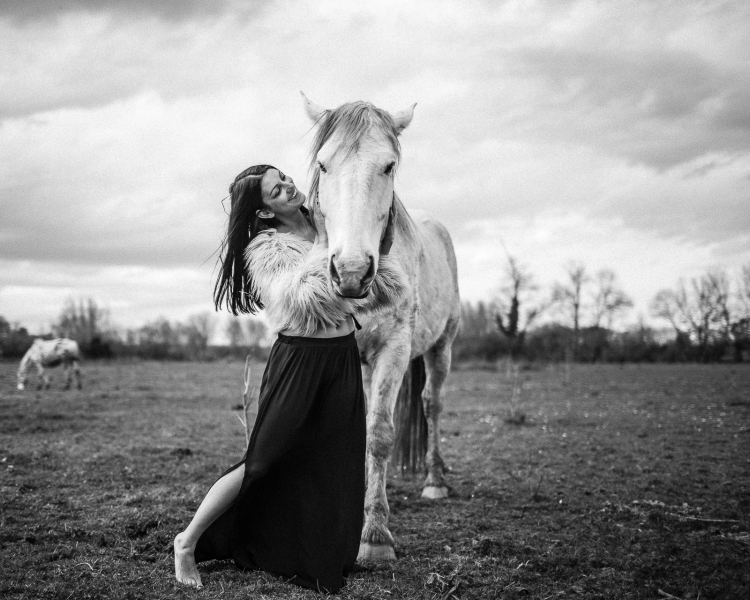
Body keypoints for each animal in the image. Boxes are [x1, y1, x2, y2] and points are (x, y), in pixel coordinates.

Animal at [302, 94, 462, 564]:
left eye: (389, 166)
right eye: (323, 164)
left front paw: (374, 535)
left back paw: (434, 481)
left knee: (431, 405)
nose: (352, 272)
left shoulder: (394, 350)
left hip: (441, 348)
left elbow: (379, 434)